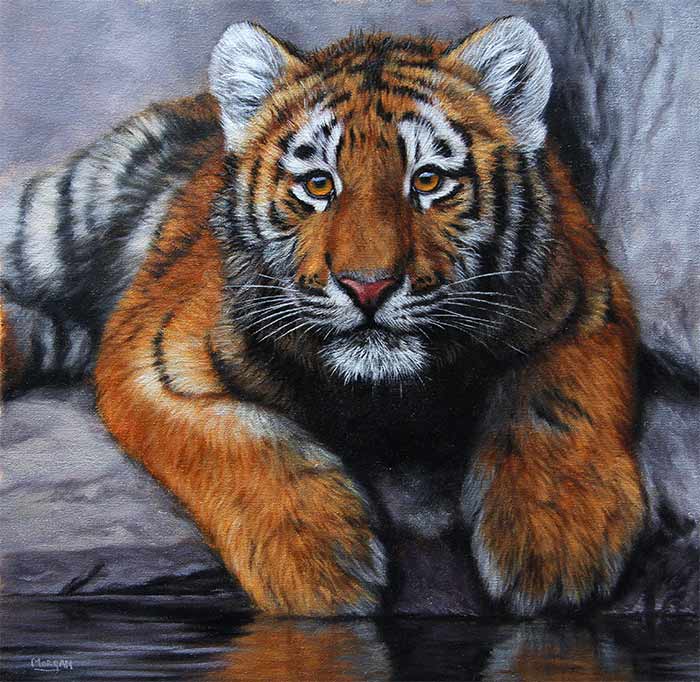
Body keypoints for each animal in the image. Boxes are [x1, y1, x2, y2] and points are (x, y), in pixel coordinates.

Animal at [1, 17, 645, 616]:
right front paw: (319, 564)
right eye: (317, 184)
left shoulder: (586, 301)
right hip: (53, 218)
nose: (368, 286)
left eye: (428, 180)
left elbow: (554, 407)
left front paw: (554, 545)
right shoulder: (152, 352)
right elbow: (234, 441)